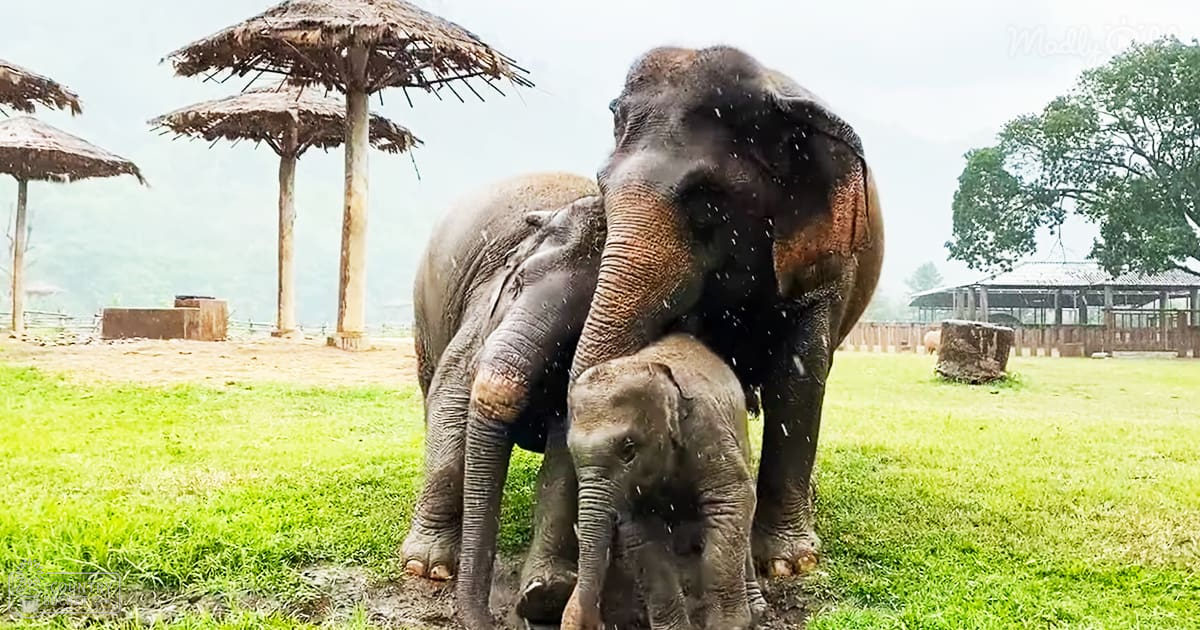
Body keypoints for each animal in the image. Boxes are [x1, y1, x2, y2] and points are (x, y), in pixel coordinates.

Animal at [401, 172, 605, 627]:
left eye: (576, 333)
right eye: (515, 284)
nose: (491, 617)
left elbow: (566, 458)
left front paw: (545, 595)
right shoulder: (481, 315)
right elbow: (451, 399)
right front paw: (426, 568)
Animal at [561, 333, 766, 630]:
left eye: (628, 449)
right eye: (570, 451)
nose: (596, 622)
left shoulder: (707, 428)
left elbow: (732, 499)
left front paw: (730, 625)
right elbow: (644, 542)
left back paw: (758, 608)